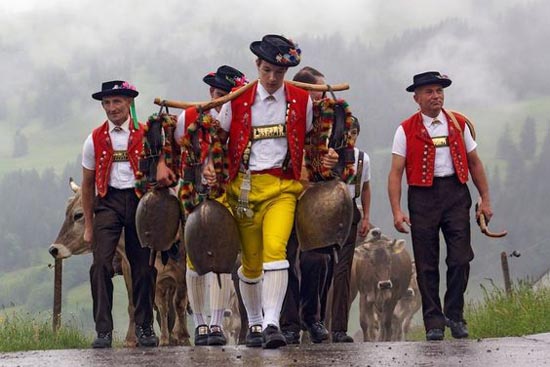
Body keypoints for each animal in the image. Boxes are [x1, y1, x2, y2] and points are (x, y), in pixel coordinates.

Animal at [49, 180, 192, 348]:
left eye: (78, 215)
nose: (54, 249)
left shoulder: (182, 270)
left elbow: (180, 302)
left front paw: (181, 336)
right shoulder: (130, 268)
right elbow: (134, 304)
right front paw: (131, 339)